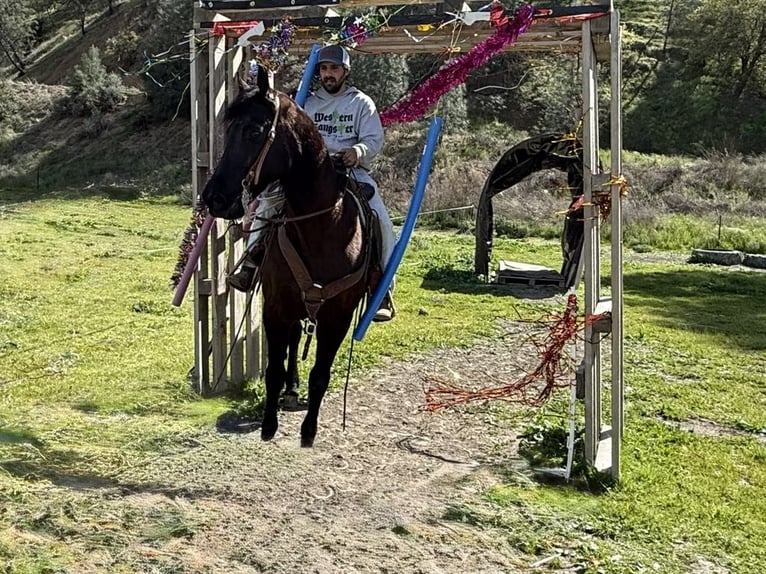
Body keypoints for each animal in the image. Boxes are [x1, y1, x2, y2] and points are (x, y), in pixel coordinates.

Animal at [202, 67, 371, 447]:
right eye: (228, 130)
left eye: (253, 131)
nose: (214, 197)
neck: (321, 227)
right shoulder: (276, 306)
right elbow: (273, 370)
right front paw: (268, 425)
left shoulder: (338, 317)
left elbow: (321, 375)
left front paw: (309, 432)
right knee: (294, 341)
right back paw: (290, 391)